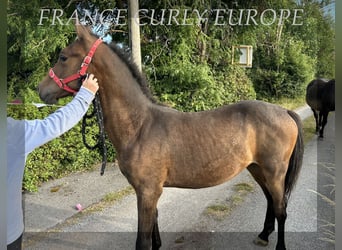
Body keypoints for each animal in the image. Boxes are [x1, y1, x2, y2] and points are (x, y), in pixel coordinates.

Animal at [38, 25, 304, 250]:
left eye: (63, 57)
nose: (41, 90)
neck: (140, 126)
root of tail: (284, 111)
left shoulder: (147, 192)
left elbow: (143, 240)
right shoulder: (148, 192)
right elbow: (154, 231)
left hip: (274, 172)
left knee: (281, 209)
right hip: (257, 169)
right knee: (271, 201)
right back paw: (263, 235)